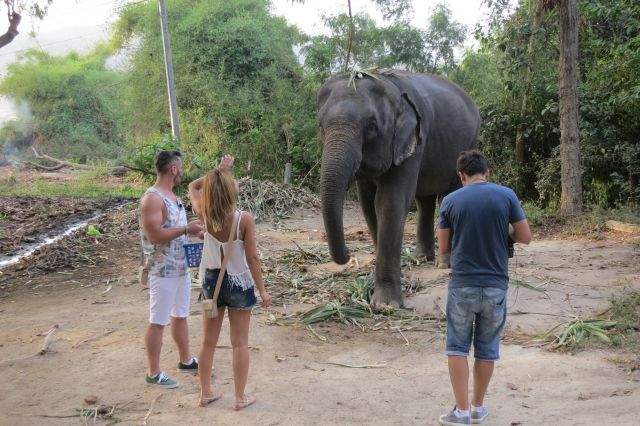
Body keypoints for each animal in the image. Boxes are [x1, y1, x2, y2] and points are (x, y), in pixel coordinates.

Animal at [318, 71, 478, 308]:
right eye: (320, 126)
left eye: (372, 126)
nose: (348, 253)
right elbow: (368, 204)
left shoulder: (413, 140)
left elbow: (390, 201)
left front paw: (385, 305)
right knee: (424, 200)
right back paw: (421, 257)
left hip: (468, 144)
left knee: (449, 196)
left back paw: (443, 264)